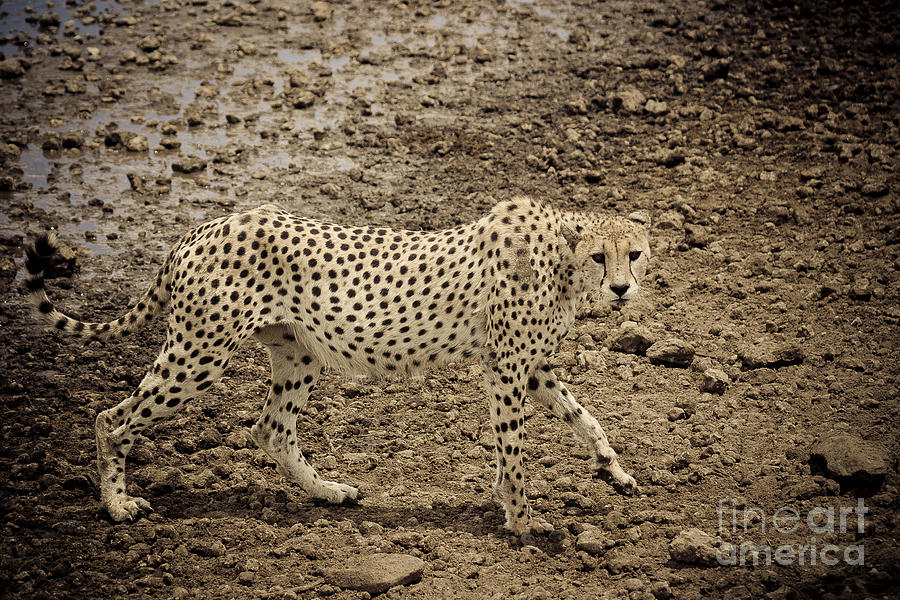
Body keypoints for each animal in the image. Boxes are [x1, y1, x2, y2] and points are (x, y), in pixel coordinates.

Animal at [24, 196, 651, 536]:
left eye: (636, 254)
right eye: (601, 257)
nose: (621, 289)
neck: (561, 259)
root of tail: (200, 228)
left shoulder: (530, 366)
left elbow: (583, 416)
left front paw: (613, 470)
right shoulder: (506, 368)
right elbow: (515, 452)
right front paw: (522, 519)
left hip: (296, 350)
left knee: (271, 428)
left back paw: (326, 492)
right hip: (200, 352)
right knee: (113, 419)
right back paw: (116, 505)